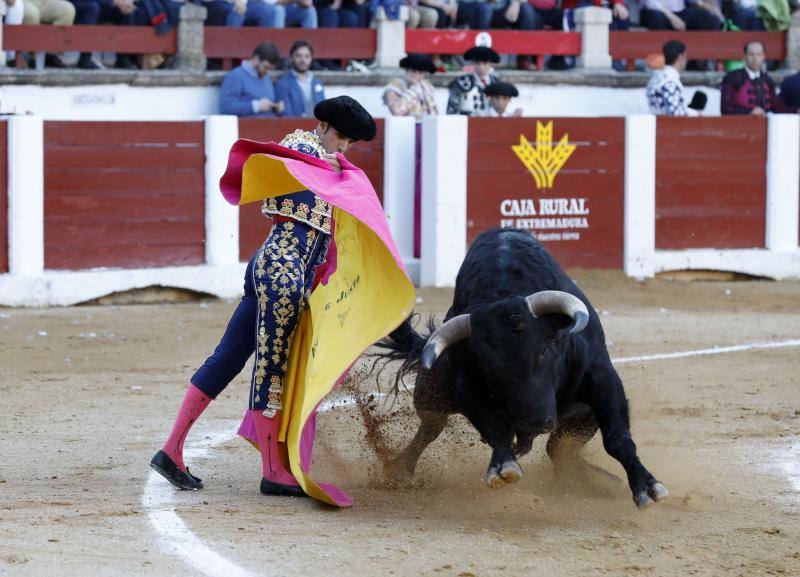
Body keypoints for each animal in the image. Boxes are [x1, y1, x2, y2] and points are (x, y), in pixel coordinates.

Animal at [376, 230, 668, 508]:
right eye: (490, 369)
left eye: (545, 350)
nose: (537, 421)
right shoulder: (470, 391)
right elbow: (497, 431)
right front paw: (503, 465)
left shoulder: (601, 379)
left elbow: (617, 438)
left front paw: (646, 486)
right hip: (431, 393)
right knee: (430, 428)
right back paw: (398, 471)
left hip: (581, 416)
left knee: (559, 449)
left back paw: (600, 481)